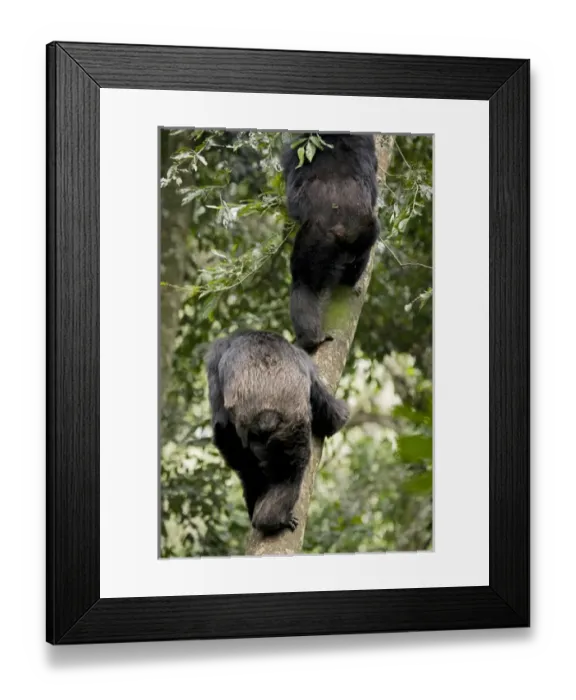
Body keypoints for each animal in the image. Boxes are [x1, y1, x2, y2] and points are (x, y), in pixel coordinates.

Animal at [205, 329, 349, 535]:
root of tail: (266, 417)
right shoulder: (306, 362)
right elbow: (329, 411)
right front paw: (340, 414)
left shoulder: (215, 356)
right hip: (291, 430)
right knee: (291, 471)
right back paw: (272, 519)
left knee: (247, 468)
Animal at [282, 133, 380, 352]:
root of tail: (344, 230)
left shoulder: (293, 151)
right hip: (367, 235)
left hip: (314, 242)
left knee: (303, 283)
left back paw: (309, 339)